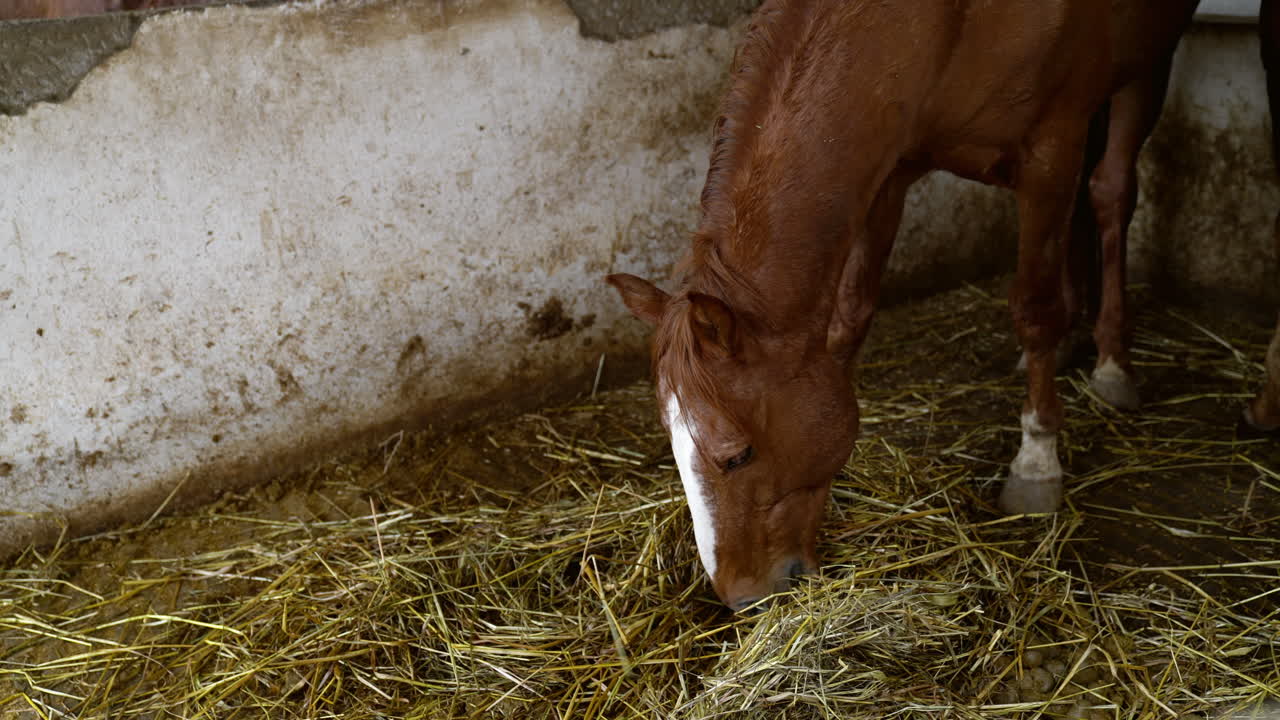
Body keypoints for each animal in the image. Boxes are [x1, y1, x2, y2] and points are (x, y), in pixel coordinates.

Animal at [607, 0, 1199, 612]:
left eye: (737, 455)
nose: (744, 598)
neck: (947, 22)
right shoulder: (890, 171)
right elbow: (852, 314)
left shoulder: (1049, 154)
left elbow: (1034, 309)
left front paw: (1037, 460)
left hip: (1146, 69)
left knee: (1110, 194)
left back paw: (1111, 362)